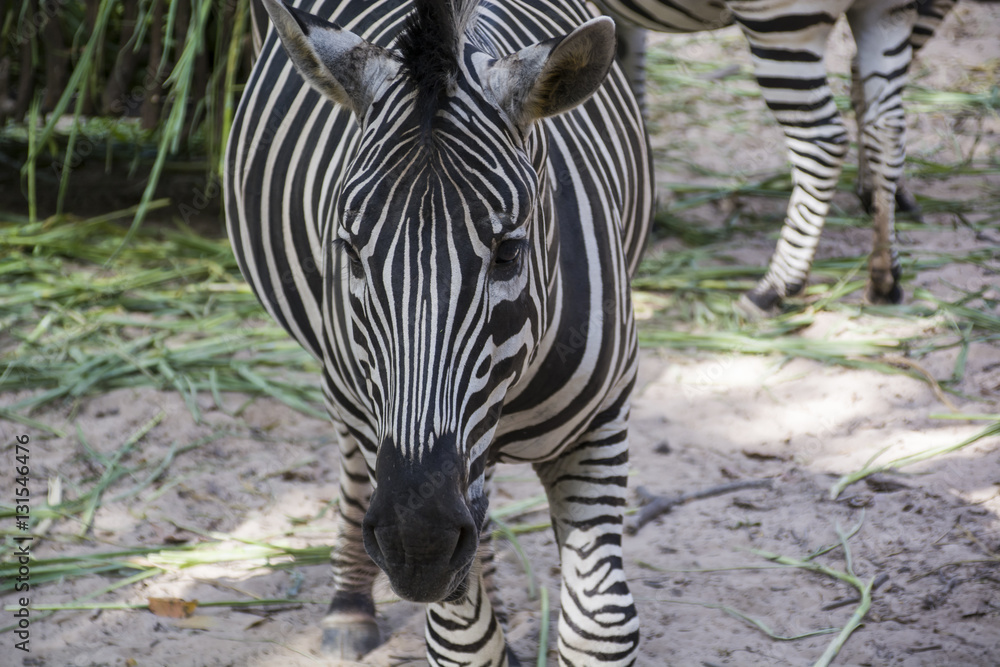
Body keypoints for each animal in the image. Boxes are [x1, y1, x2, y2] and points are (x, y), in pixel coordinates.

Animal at [225, 0, 652, 664]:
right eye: (352, 253)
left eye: (508, 252)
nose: (415, 543)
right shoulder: (388, 434)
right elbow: (462, 640)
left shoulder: (602, 421)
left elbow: (601, 624)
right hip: (349, 393)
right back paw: (351, 604)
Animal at [601, 0, 961, 314]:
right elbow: (627, 87)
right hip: (884, 15)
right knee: (886, 125)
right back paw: (884, 274)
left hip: (781, 24)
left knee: (822, 143)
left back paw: (775, 287)